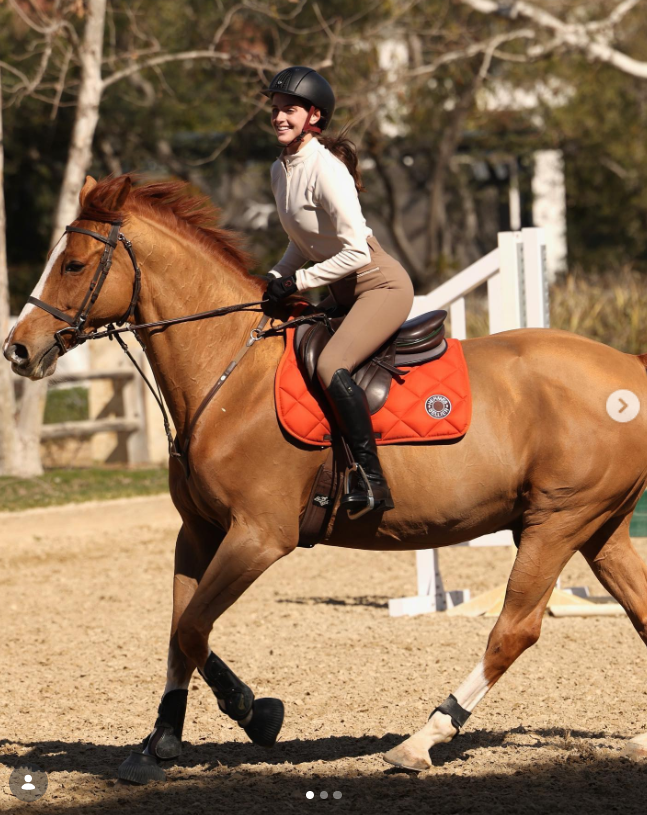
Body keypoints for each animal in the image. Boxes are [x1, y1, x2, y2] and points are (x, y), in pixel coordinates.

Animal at [5, 174, 647, 781]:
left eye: (73, 264)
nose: (18, 350)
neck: (229, 375)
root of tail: (628, 364)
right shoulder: (198, 533)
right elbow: (180, 632)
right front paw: (159, 741)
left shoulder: (259, 536)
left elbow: (191, 628)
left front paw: (255, 713)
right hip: (600, 529)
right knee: (637, 609)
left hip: (555, 522)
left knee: (514, 629)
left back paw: (421, 740)